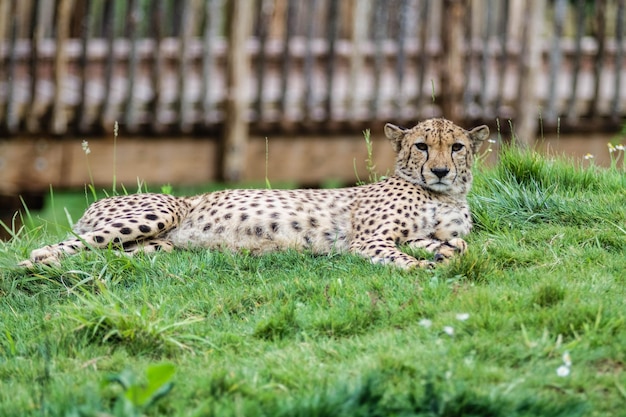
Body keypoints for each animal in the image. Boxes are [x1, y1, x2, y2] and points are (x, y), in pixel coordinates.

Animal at [18, 118, 488, 268]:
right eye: (422, 146)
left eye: (457, 147)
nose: (440, 170)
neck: (443, 196)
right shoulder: (369, 240)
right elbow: (400, 257)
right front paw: (423, 268)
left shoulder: (426, 233)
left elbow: (455, 243)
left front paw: (445, 254)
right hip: (161, 211)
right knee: (57, 247)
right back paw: (32, 264)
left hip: (158, 245)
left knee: (105, 253)